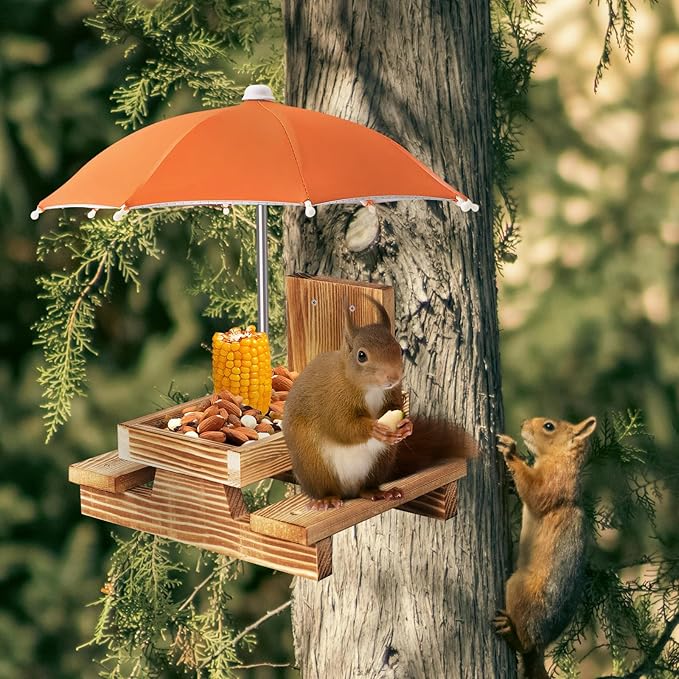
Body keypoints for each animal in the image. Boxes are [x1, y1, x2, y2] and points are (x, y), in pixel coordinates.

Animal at [284, 296, 473, 510]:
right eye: (361, 355)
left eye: (399, 350)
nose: (393, 376)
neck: (371, 389)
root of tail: (348, 491)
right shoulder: (332, 399)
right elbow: (341, 426)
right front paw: (373, 428)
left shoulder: (393, 393)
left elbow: (395, 408)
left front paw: (407, 426)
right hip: (313, 464)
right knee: (324, 486)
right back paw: (326, 499)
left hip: (381, 460)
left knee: (365, 488)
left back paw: (377, 492)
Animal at [494, 416, 597, 679]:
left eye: (549, 426)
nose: (522, 424)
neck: (559, 460)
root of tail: (542, 644)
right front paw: (510, 481)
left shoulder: (554, 484)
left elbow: (534, 492)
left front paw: (511, 451)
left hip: (520, 589)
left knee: (526, 644)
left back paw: (511, 632)